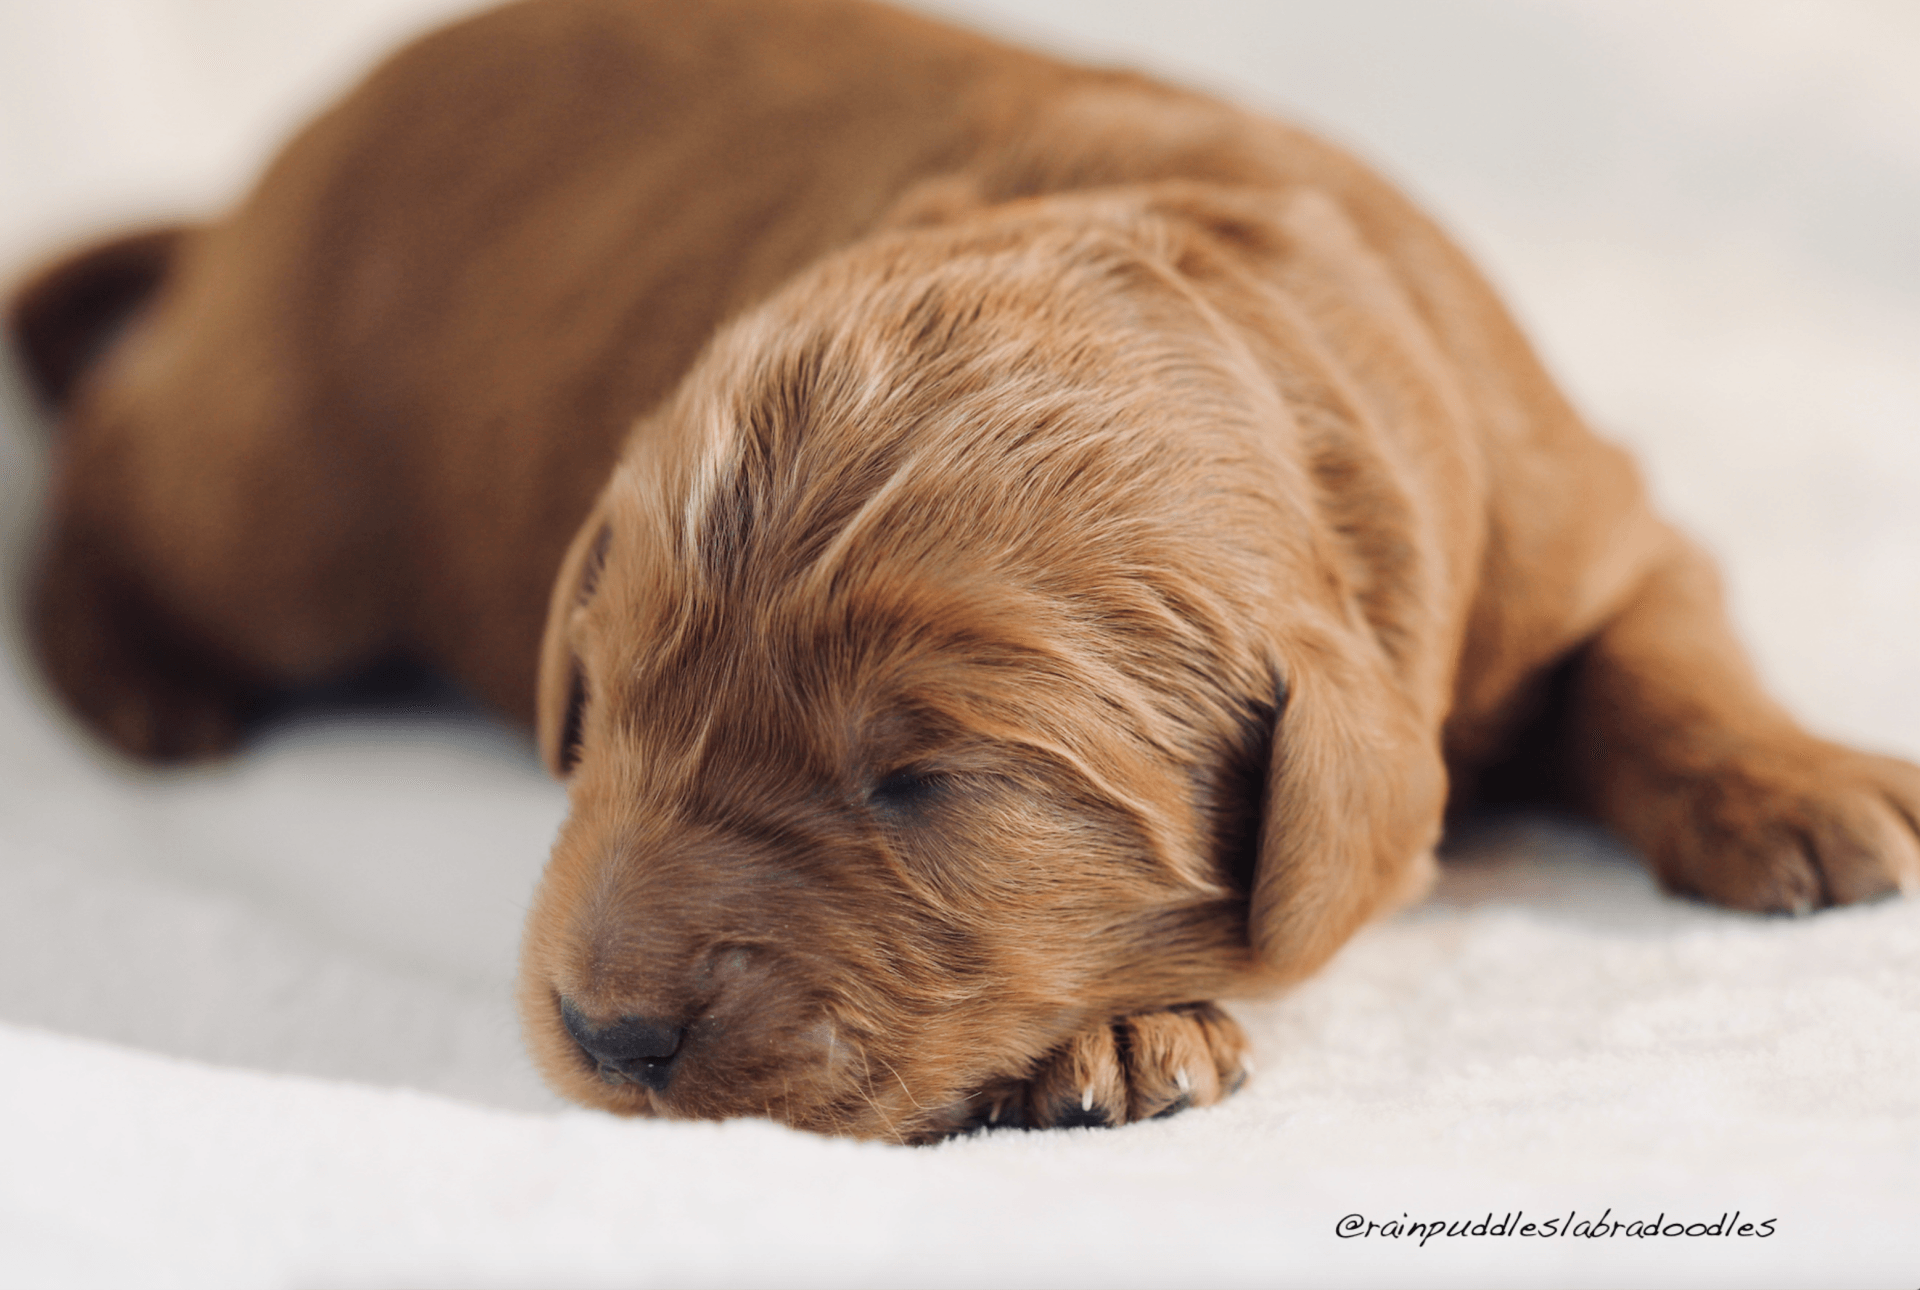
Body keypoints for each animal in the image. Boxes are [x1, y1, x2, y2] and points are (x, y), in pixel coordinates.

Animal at [15, 0, 1920, 1144]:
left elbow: (1666, 650)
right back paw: (144, 679)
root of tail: (250, 204)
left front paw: (1802, 783)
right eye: (603, 710)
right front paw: (1120, 1038)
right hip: (278, 497)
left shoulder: (1573, 506)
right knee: (104, 463)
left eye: (924, 784)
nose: (607, 1034)